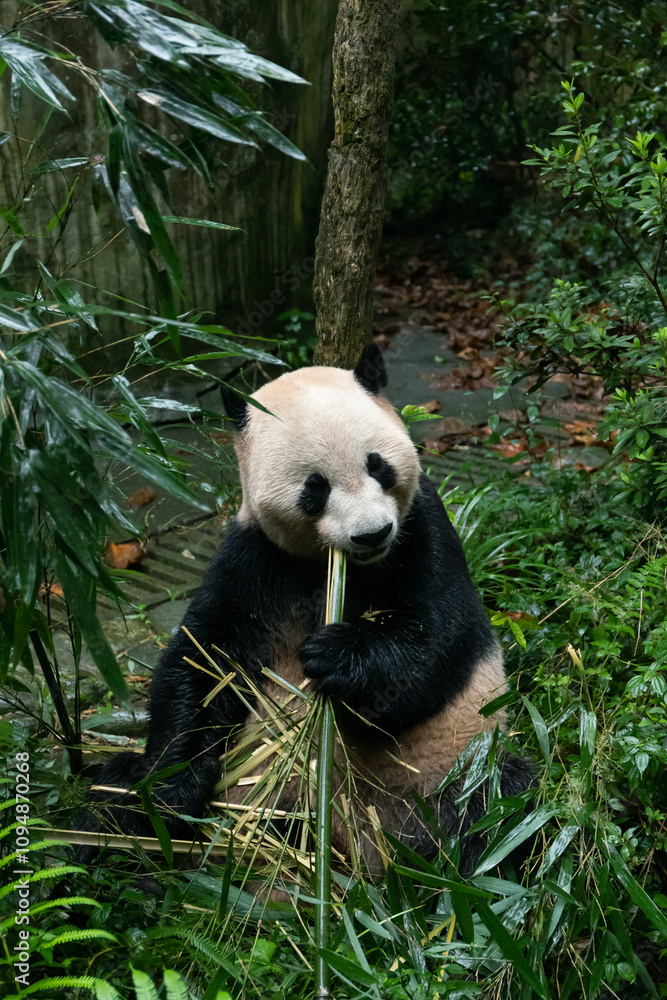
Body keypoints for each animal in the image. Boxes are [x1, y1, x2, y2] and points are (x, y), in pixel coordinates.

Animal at [82, 343, 532, 874]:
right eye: (315, 488)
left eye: (378, 465)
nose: (372, 533)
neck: (337, 565)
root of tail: (357, 846)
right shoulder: (256, 556)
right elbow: (206, 659)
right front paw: (174, 792)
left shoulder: (422, 528)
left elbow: (436, 638)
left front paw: (335, 656)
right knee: (111, 789)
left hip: (454, 762)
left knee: (498, 805)